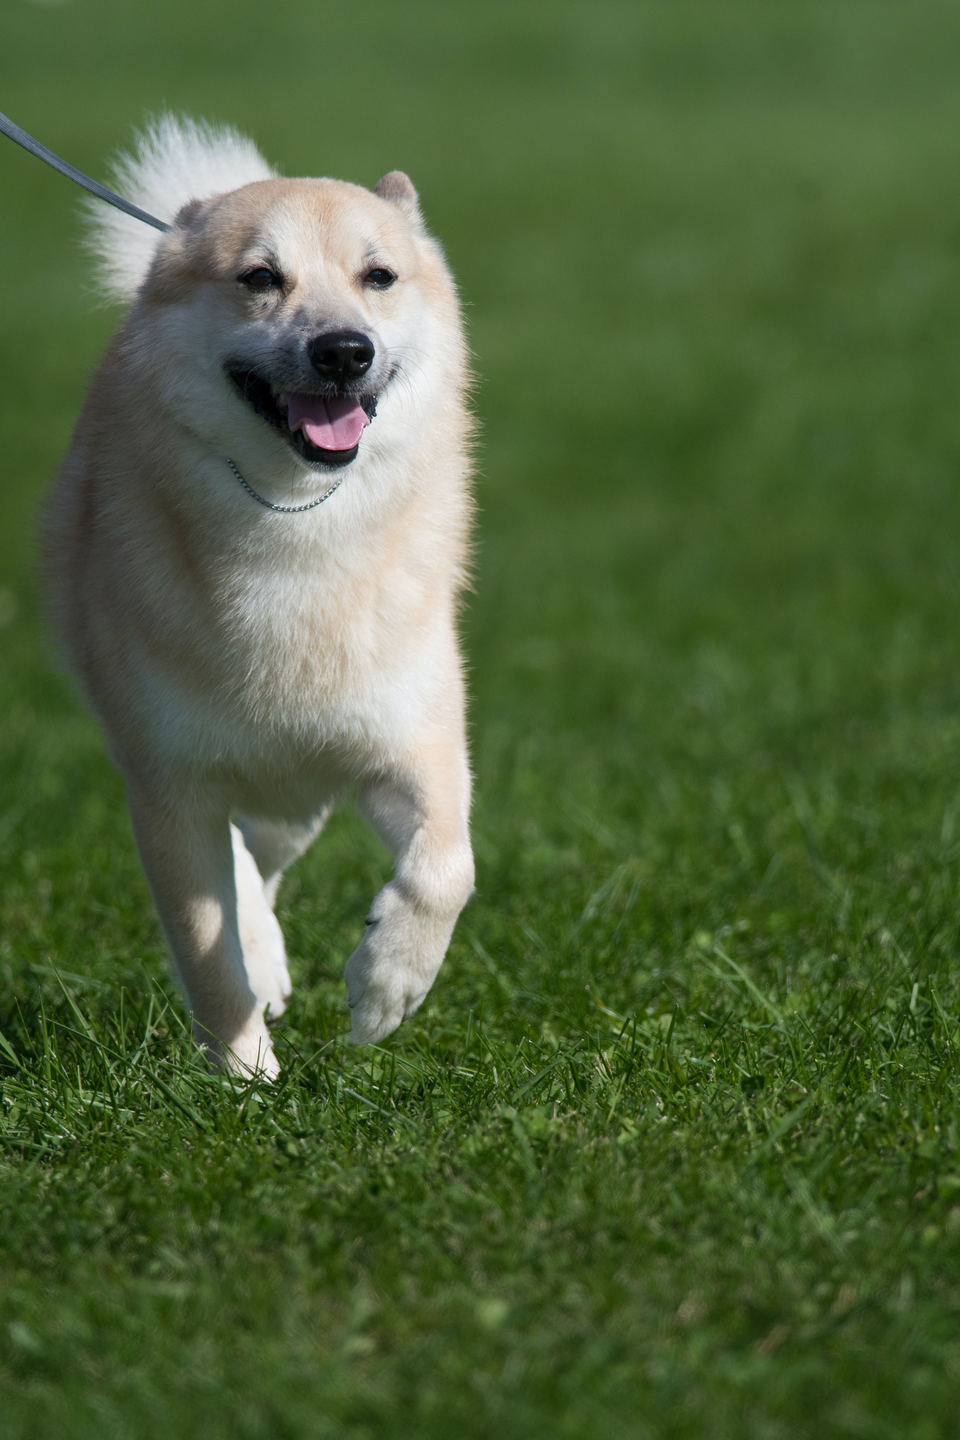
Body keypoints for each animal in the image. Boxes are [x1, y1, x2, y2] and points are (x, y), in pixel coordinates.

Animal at [44, 118, 477, 1077]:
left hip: (300, 796)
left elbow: (445, 869)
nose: (344, 351)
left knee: (268, 856)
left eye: (379, 276)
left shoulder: (410, 739)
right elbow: (208, 948)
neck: (296, 522)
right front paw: (243, 1079)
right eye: (259, 279)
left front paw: (386, 989)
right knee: (240, 877)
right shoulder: (169, 782)